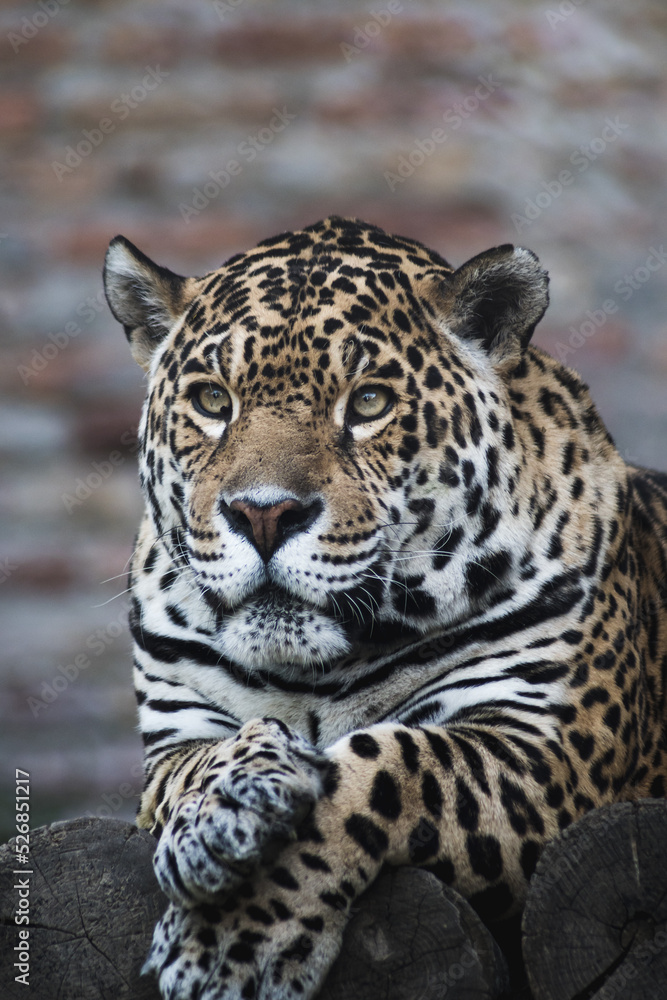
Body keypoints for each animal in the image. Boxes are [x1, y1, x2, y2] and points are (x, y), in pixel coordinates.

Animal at [103, 215, 667, 1000]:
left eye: (368, 403)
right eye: (213, 402)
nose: (263, 515)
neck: (315, 674)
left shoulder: (546, 752)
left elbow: (384, 765)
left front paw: (229, 941)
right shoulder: (171, 742)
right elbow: (208, 759)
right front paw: (229, 809)